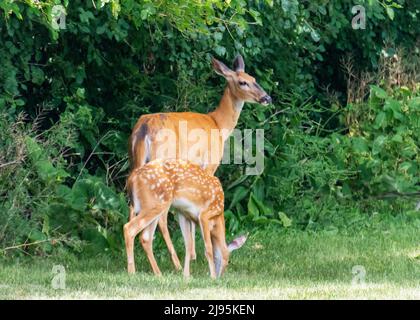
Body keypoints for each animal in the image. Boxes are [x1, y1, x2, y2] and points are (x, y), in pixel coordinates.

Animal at [129, 54, 272, 270]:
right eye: (242, 82)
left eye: (254, 78)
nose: (267, 98)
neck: (219, 125)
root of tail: (144, 129)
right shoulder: (210, 165)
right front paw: (197, 254)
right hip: (161, 163)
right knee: (161, 216)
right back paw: (176, 263)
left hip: (135, 162)